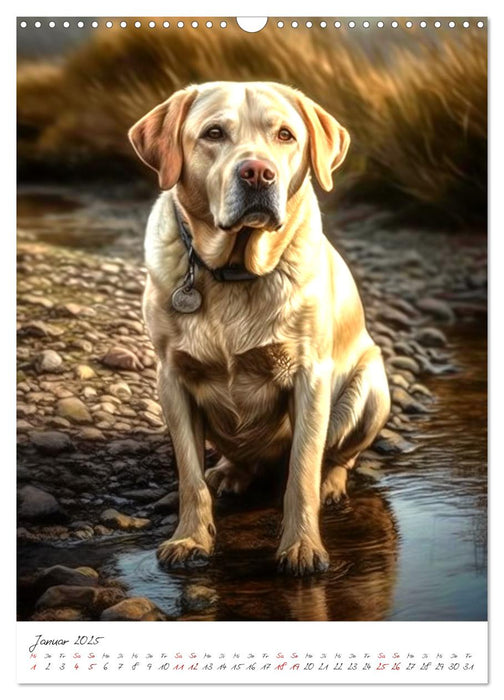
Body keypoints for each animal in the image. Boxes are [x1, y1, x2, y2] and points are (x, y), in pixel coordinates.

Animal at [129, 82, 390, 576]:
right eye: (213, 133)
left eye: (285, 135)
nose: (257, 173)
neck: (234, 270)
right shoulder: (171, 378)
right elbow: (189, 476)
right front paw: (190, 539)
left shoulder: (310, 378)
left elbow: (302, 472)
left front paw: (302, 546)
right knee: (238, 459)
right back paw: (230, 472)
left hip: (371, 389)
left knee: (336, 457)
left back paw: (330, 485)